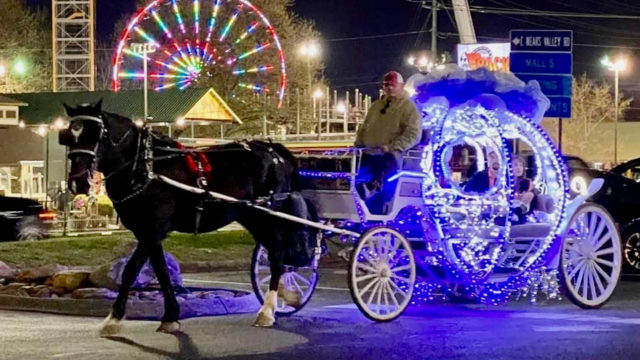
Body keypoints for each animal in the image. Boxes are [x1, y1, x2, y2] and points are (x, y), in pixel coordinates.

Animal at [60, 100, 318, 334]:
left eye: (95, 134)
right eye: (69, 136)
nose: (78, 182)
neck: (146, 166)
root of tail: (273, 150)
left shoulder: (153, 229)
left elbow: (131, 270)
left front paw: (114, 318)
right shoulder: (146, 233)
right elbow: (161, 272)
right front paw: (170, 316)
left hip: (269, 216)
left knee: (277, 256)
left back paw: (267, 310)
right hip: (252, 216)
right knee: (277, 256)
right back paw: (284, 296)